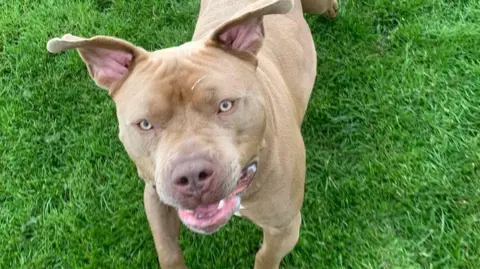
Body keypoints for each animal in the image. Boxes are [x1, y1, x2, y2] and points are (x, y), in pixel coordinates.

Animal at [45, 0, 338, 266]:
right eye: (145, 124)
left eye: (225, 105)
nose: (192, 175)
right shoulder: (154, 194)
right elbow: (168, 251)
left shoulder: (284, 227)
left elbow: (265, 257)